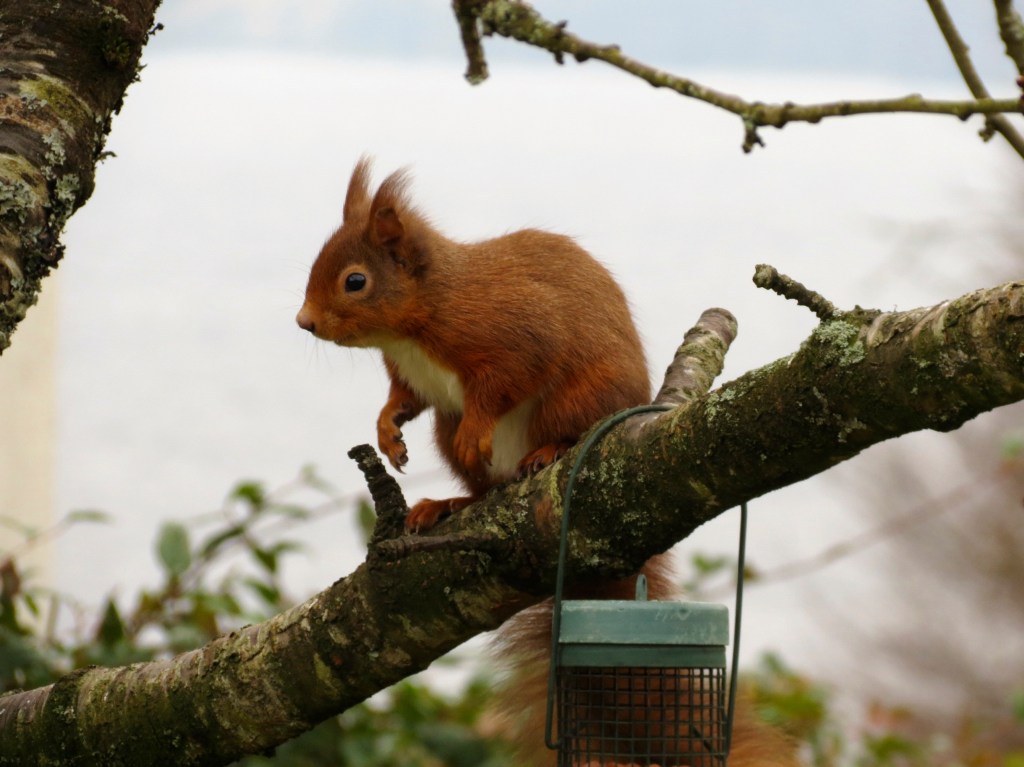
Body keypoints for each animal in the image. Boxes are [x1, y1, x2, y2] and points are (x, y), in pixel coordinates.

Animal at [297, 159, 798, 766]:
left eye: (355, 281)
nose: (304, 321)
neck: (420, 317)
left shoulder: (511, 330)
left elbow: (507, 377)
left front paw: (478, 428)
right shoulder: (412, 378)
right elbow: (402, 401)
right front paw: (387, 433)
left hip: (576, 397)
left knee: (557, 426)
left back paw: (547, 454)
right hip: (452, 432)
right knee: (482, 487)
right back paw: (449, 503)